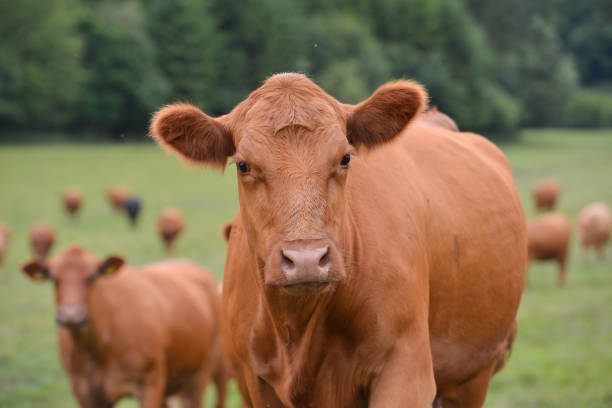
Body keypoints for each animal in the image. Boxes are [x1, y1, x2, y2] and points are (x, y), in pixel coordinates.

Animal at [21, 244, 228, 408]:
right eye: (54, 279)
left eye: (92, 277)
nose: (71, 315)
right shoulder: (84, 390)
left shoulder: (150, 383)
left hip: (201, 374)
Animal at [151, 73, 528, 408]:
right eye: (243, 165)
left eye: (345, 158)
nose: (306, 259)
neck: (297, 330)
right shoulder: (255, 382)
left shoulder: (406, 370)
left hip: (473, 374)